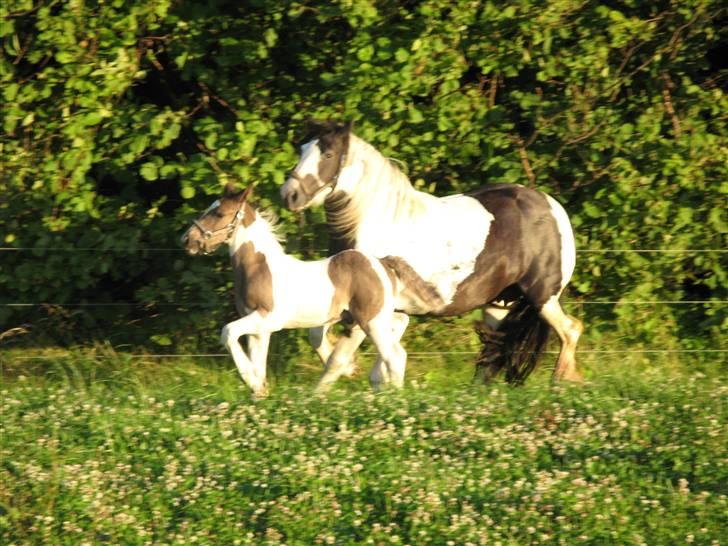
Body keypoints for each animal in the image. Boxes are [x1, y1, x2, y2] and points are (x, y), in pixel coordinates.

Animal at [185, 185, 436, 394]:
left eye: (219, 214)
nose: (187, 240)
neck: (259, 268)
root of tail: (383, 263)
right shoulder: (259, 327)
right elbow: (258, 362)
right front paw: (259, 391)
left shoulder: (269, 319)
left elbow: (228, 332)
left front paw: (250, 381)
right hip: (375, 316)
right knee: (400, 332)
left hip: (371, 320)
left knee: (394, 356)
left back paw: (393, 399)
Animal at [282, 120, 584, 382]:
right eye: (302, 149)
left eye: (328, 153)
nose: (289, 195)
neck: (376, 223)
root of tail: (553, 208)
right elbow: (317, 336)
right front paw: (355, 372)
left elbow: (341, 356)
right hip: (499, 304)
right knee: (491, 353)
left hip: (542, 296)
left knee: (571, 330)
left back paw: (561, 383)